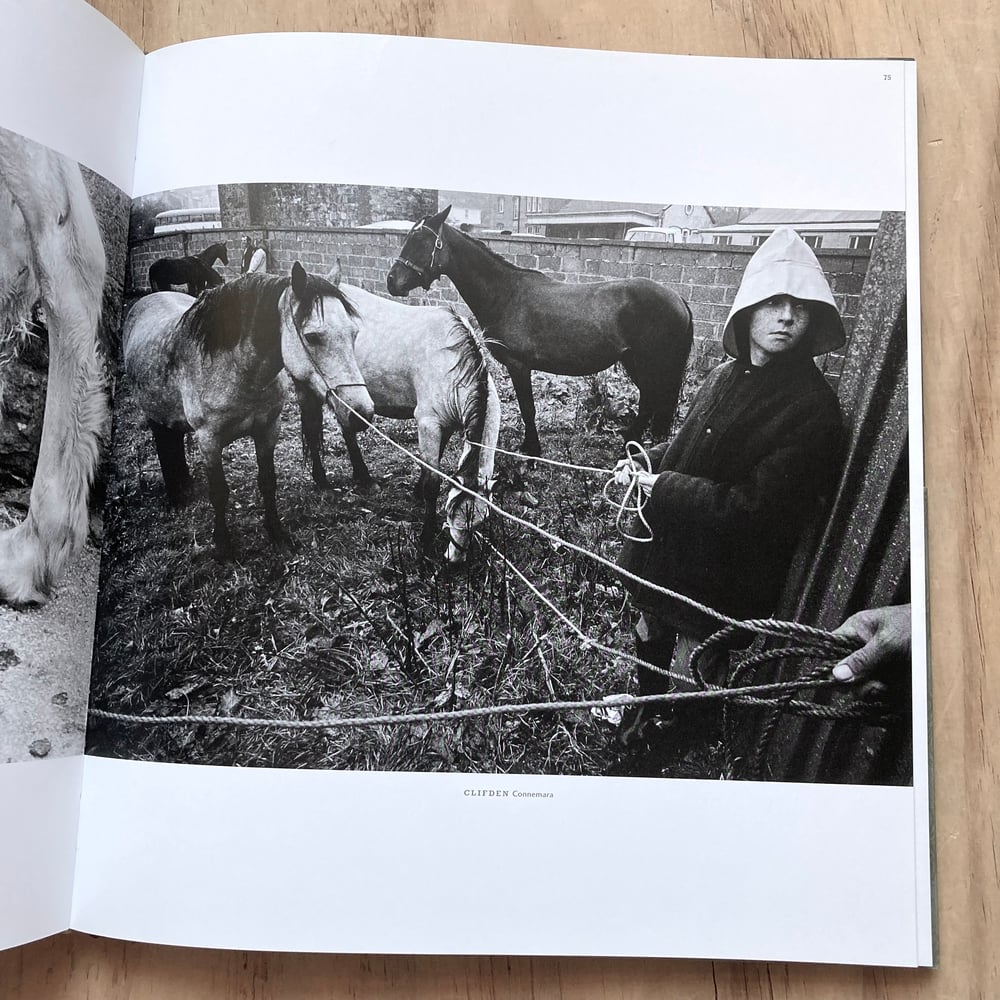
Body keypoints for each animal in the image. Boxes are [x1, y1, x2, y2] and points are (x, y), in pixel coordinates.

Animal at [386, 207, 692, 458]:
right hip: (634, 362)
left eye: (420, 242)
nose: (391, 282)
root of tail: (678, 299)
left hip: (649, 364)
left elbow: (527, 409)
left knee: (653, 398)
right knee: (650, 399)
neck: (505, 293)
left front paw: (531, 449)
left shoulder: (519, 366)